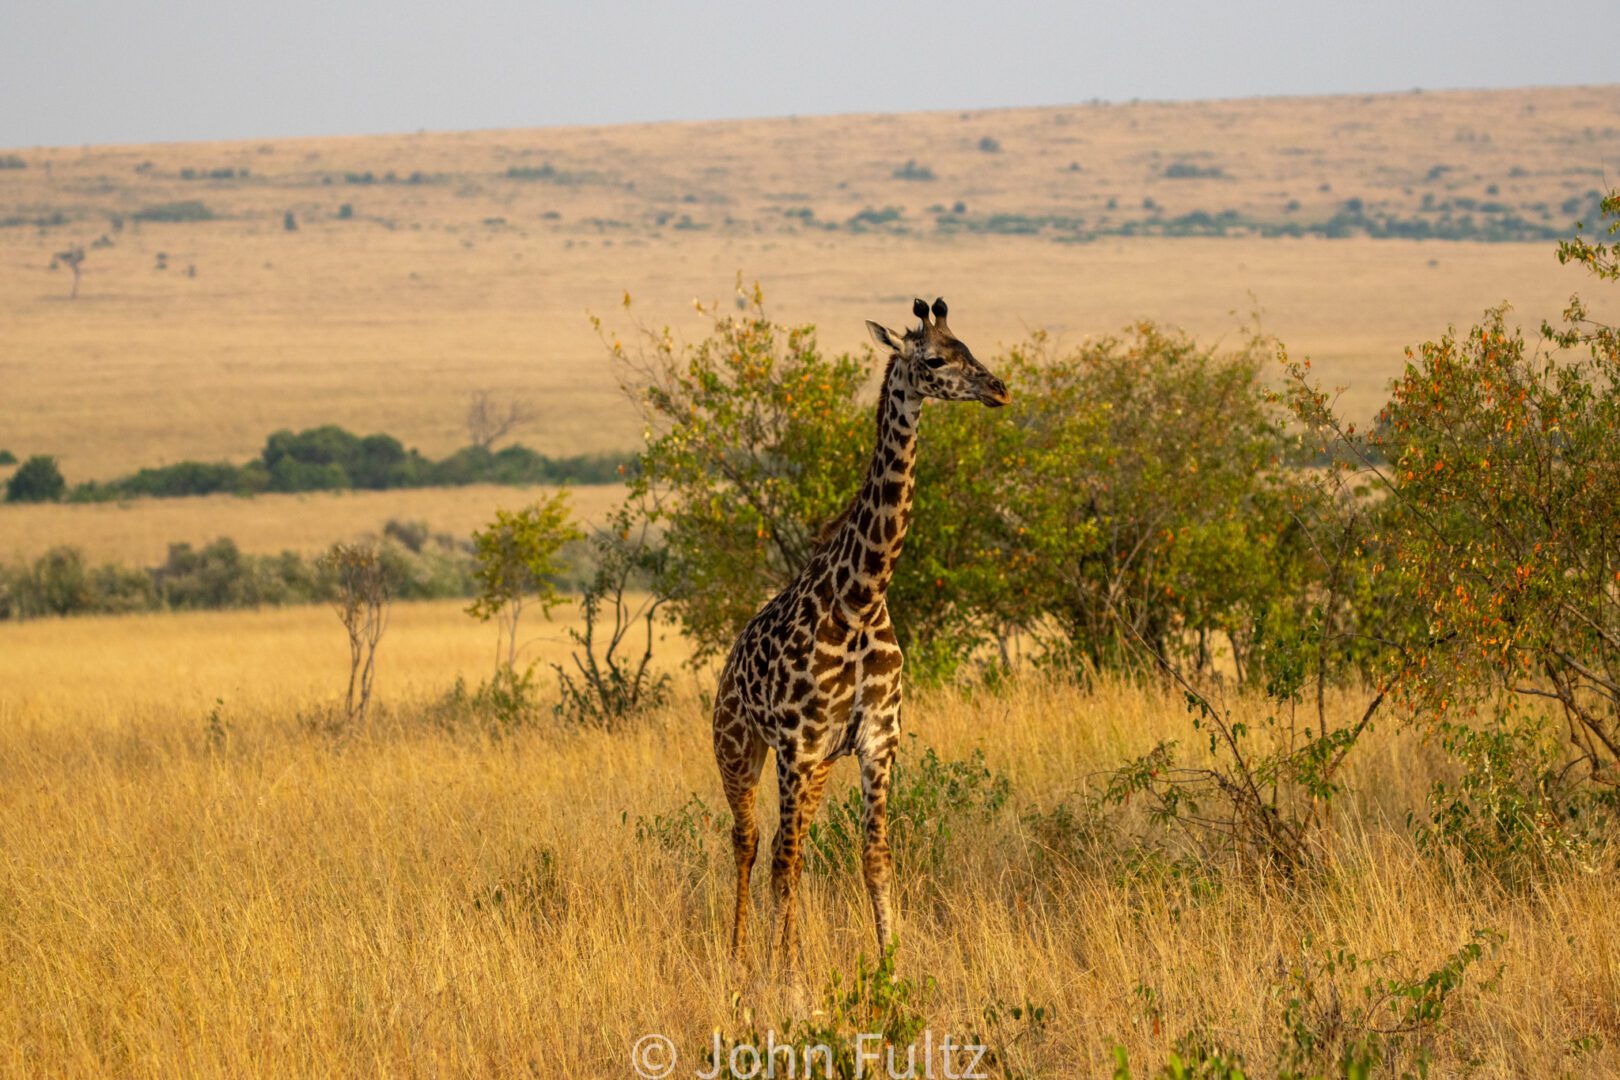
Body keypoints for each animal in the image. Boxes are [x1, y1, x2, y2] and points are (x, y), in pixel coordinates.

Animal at [712, 297, 1004, 977]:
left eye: (968, 348)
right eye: (933, 359)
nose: (998, 389)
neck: (860, 599)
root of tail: (728, 666)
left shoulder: (876, 742)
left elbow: (875, 859)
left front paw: (889, 967)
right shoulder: (798, 746)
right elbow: (782, 864)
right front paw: (785, 978)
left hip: (812, 767)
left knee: (786, 844)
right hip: (738, 747)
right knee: (750, 841)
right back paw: (740, 956)